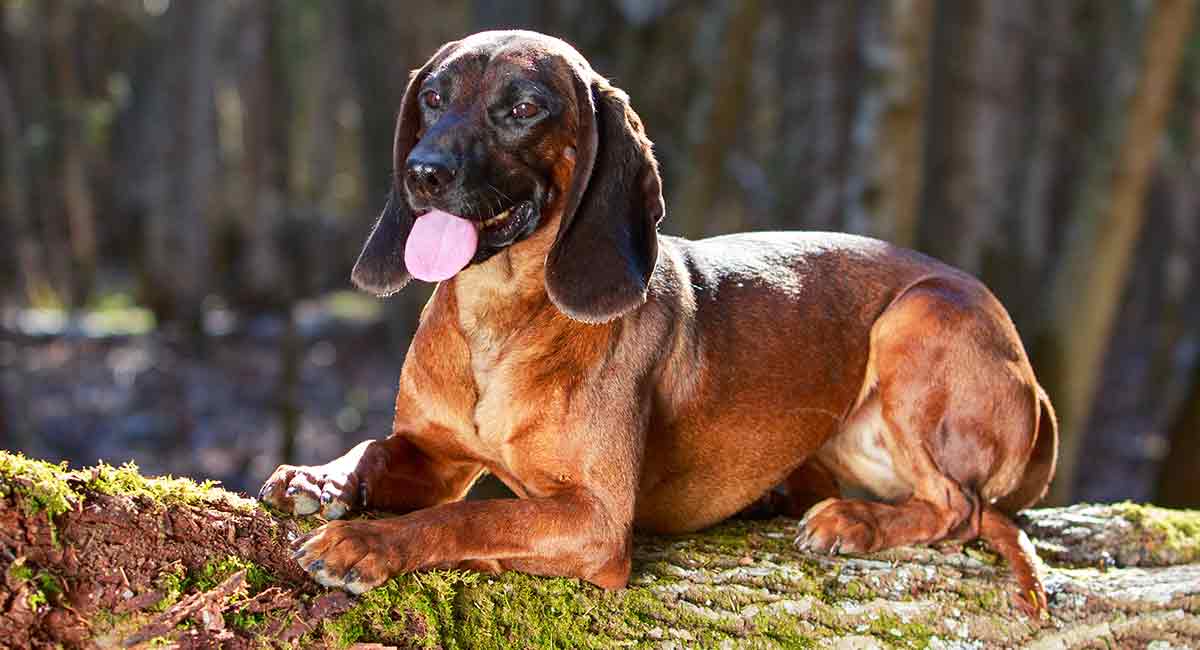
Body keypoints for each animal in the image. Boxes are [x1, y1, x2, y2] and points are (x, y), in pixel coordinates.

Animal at [258, 30, 1056, 618]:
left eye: (523, 108)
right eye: (431, 98)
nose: (421, 173)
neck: (500, 319)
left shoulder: (594, 520)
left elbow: (471, 521)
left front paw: (367, 542)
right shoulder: (436, 457)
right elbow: (373, 450)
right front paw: (321, 479)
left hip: (918, 316)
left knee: (959, 508)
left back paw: (853, 523)